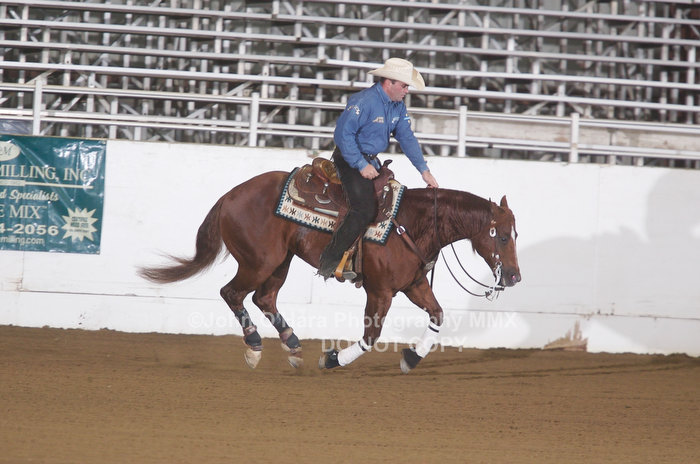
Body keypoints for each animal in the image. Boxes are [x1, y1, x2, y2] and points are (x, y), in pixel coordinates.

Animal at [138, 169, 521, 373]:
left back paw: (293, 345)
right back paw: (255, 346)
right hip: (258, 261)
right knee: (232, 293)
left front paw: (411, 357)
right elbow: (371, 337)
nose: (515, 277)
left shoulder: (412, 284)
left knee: (264, 298)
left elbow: (438, 314)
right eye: (502, 235)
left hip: (280, 262)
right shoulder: (380, 291)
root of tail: (230, 196)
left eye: (515, 234)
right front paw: (333, 359)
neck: (409, 224)